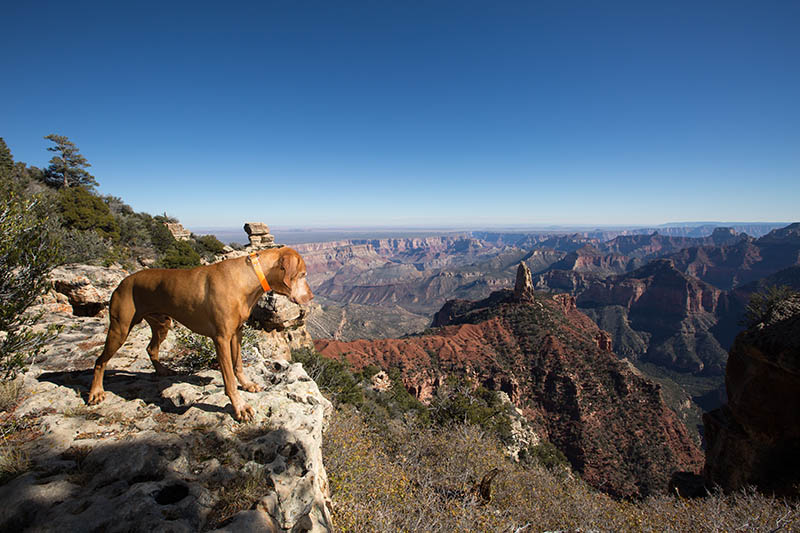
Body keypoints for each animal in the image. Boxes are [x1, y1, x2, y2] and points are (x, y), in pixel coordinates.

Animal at [86, 246, 312, 420]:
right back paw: (96, 393)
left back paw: (162, 370)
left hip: (162, 324)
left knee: (151, 348)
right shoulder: (221, 339)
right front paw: (239, 407)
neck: (247, 278)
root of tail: (121, 282)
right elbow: (229, 379)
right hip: (120, 328)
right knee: (100, 361)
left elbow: (238, 365)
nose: (311, 297)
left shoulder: (236, 334)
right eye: (302, 275)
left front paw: (247, 384)